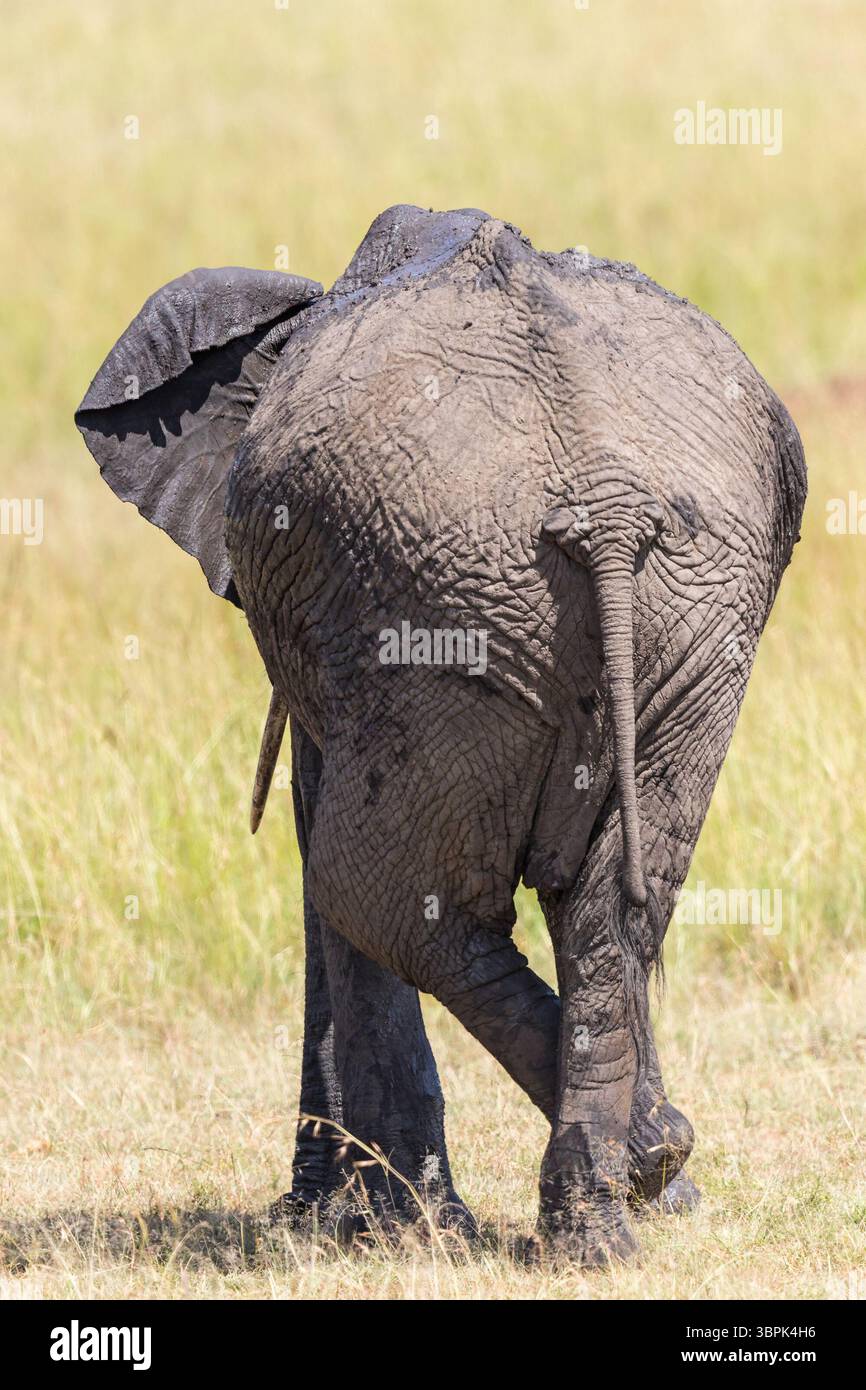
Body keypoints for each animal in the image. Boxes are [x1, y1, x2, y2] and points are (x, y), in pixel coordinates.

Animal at [75, 204, 806, 1264]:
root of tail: (604, 501)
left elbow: (322, 865)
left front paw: (357, 1227)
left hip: (447, 611)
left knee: (382, 895)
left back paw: (609, 1179)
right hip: (680, 621)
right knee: (612, 907)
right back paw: (619, 1202)